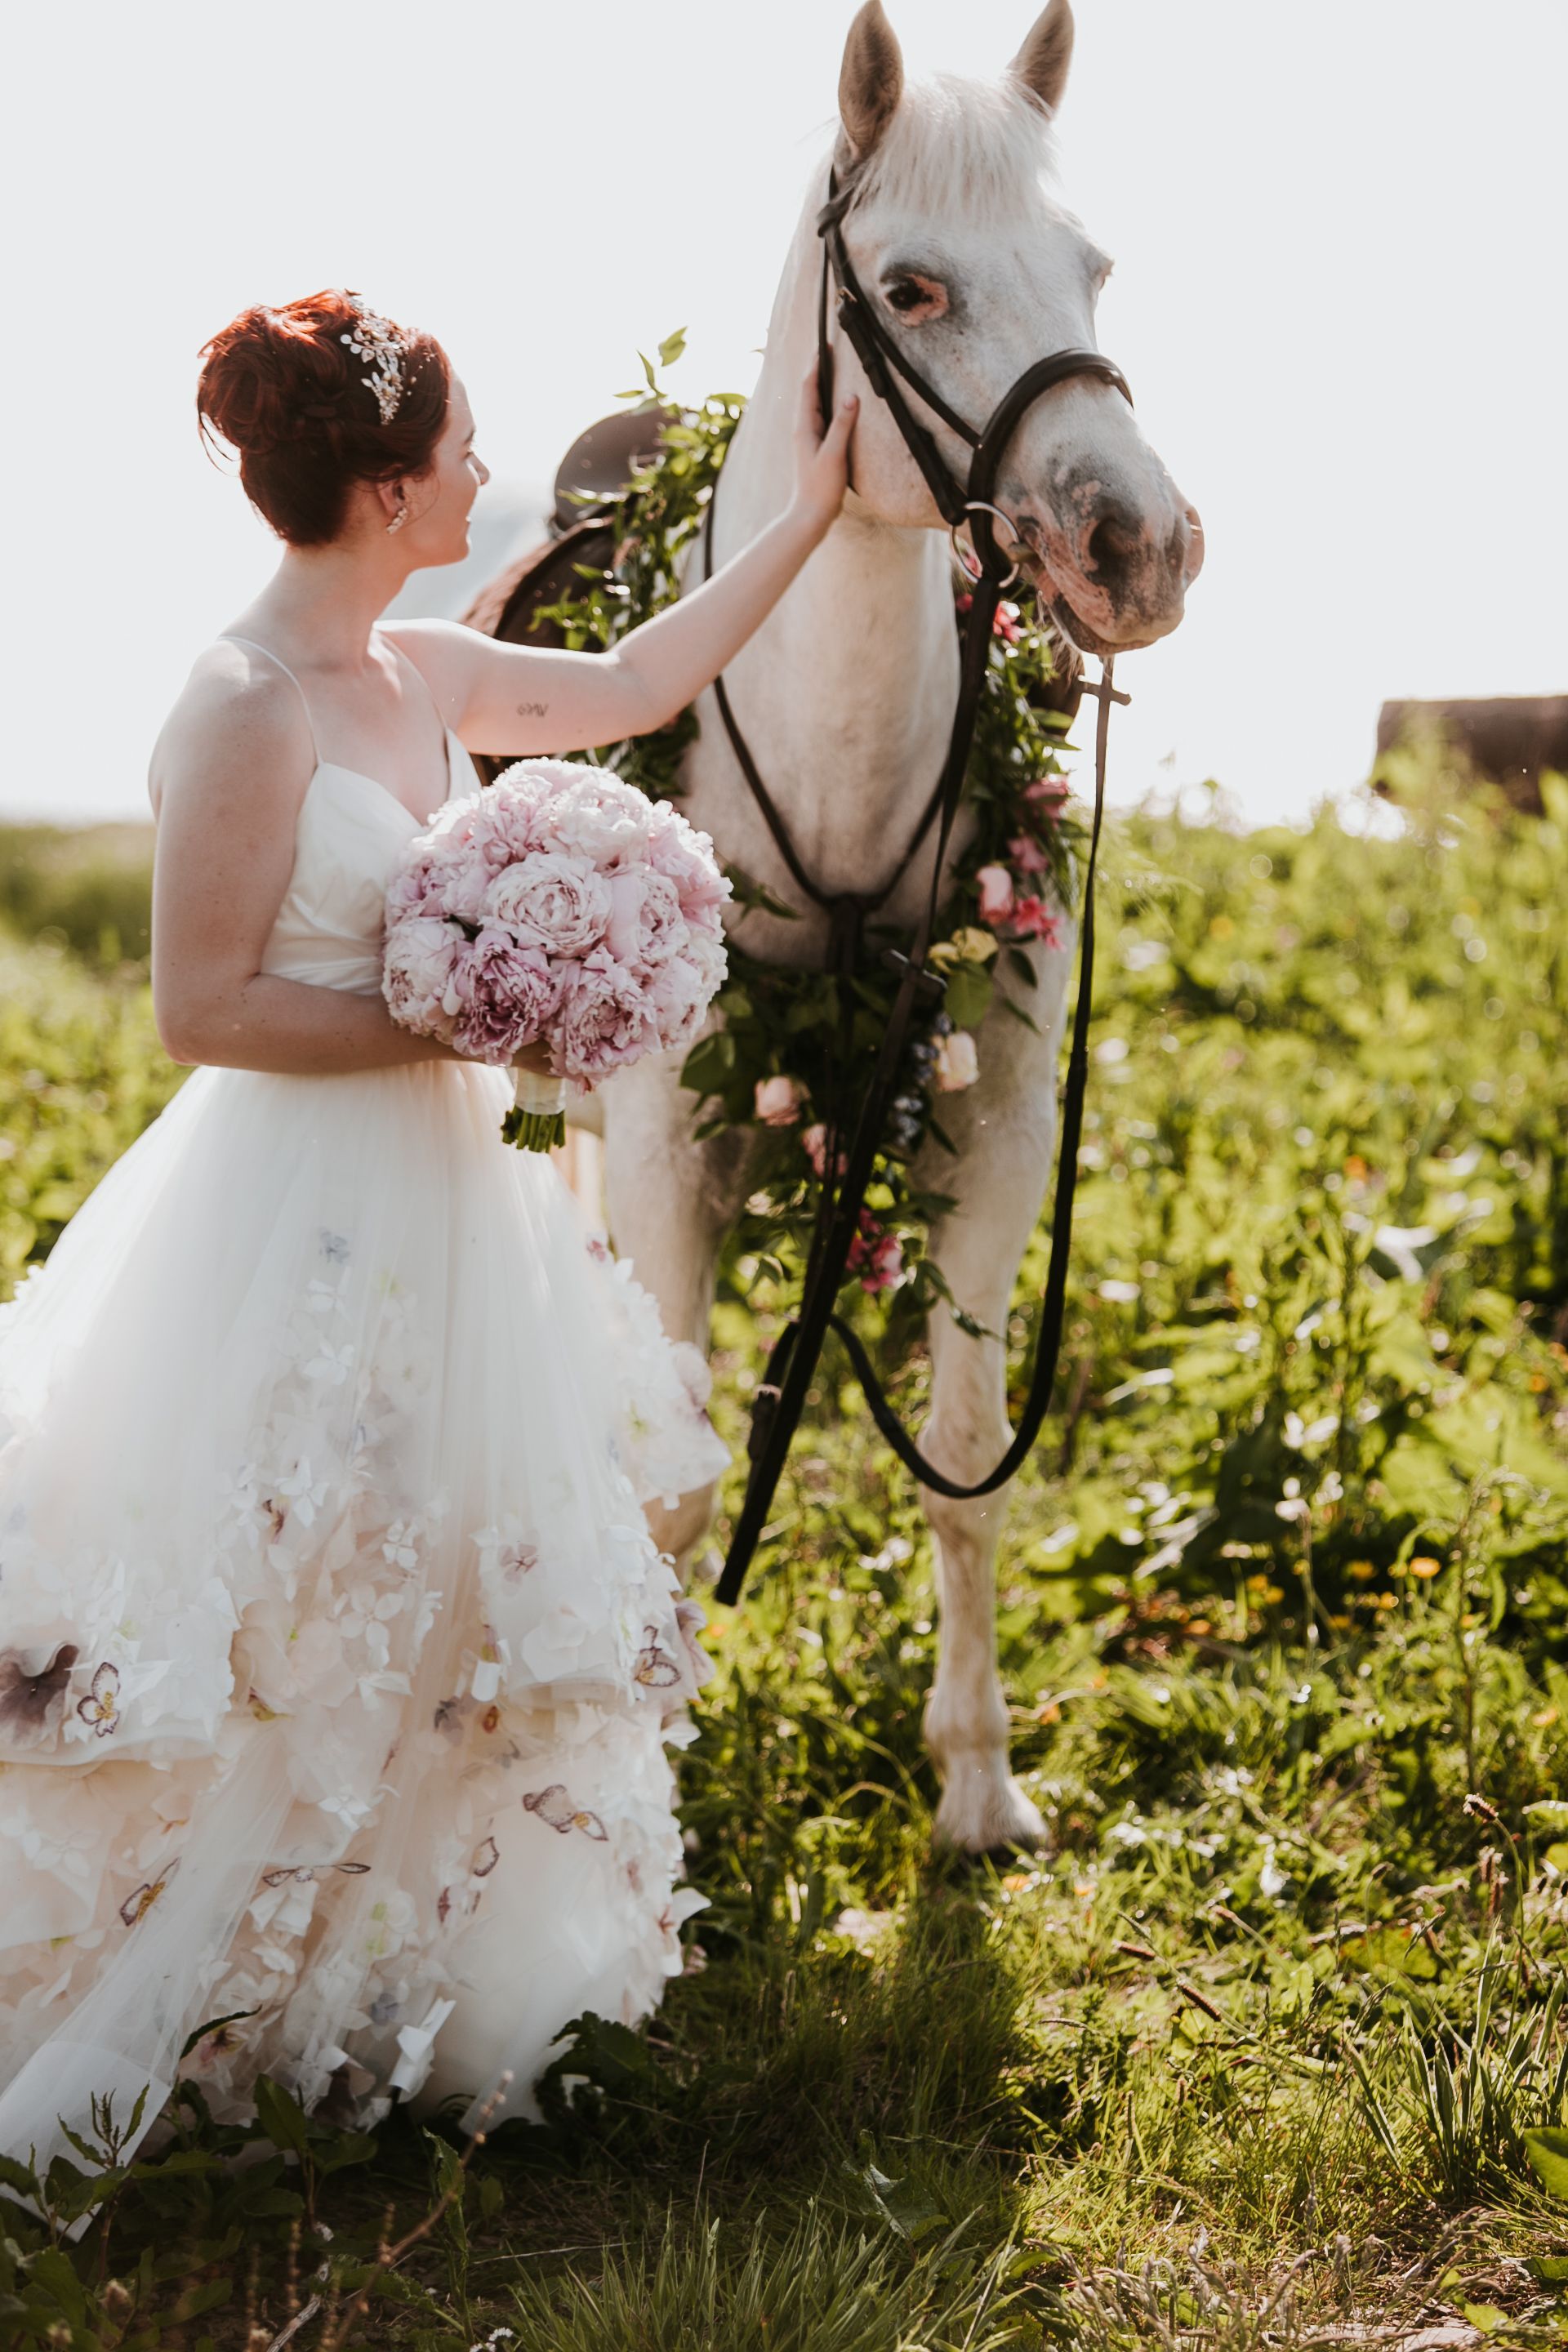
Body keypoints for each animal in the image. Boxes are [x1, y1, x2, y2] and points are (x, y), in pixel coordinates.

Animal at [477, 0, 1202, 1853]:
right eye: (915, 287)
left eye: (1095, 265)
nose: (1143, 546)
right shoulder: (672, 1152)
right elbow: (684, 1485)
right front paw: (653, 1782)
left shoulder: (994, 1137)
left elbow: (963, 1464)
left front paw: (978, 1783)